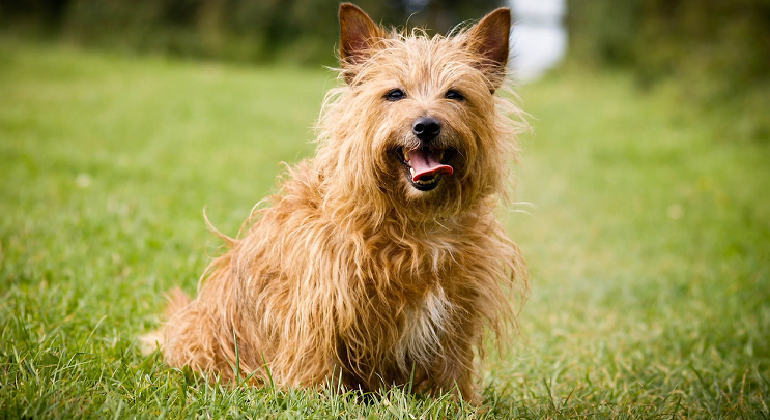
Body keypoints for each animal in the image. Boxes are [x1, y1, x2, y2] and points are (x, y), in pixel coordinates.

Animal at [142, 2, 528, 404]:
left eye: (454, 94)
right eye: (395, 94)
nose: (426, 125)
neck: (415, 219)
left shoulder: (458, 308)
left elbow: (451, 366)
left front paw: (458, 403)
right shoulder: (318, 300)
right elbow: (315, 357)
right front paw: (314, 399)